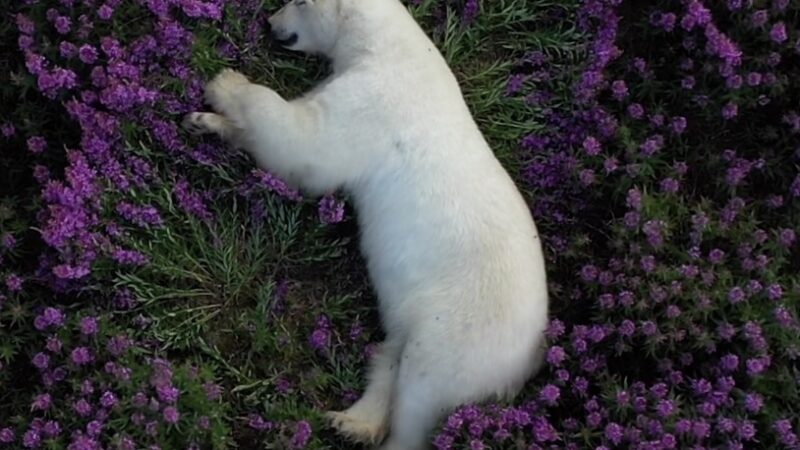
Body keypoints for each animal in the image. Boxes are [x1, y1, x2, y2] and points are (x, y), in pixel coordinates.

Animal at [184, 0, 552, 448]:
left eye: (299, 2)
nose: (269, 23)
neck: (387, 46)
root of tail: (531, 359)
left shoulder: (375, 101)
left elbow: (306, 142)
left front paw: (225, 83)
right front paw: (203, 121)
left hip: (463, 331)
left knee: (420, 393)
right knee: (390, 355)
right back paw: (349, 422)